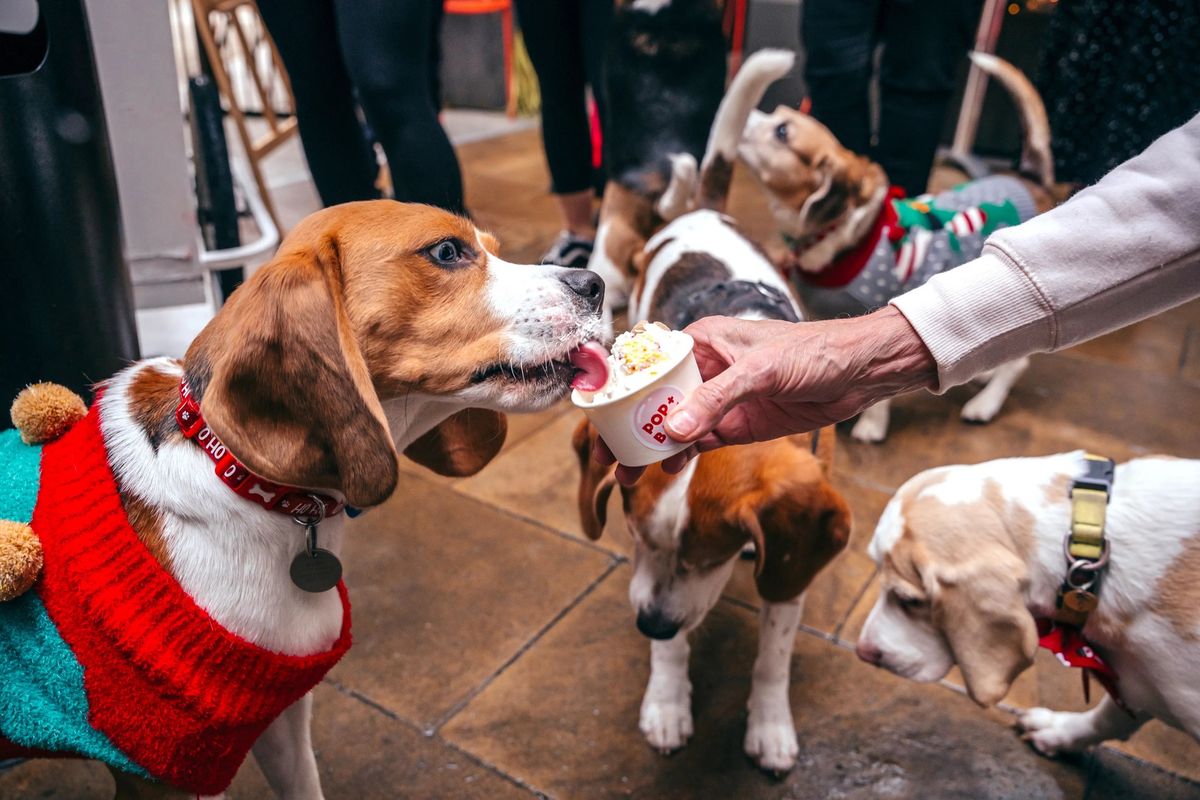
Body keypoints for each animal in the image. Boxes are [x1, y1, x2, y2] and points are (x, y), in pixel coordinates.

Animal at [0, 203, 604, 796]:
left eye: (494, 248)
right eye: (447, 251)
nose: (595, 283)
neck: (243, 486)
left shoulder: (281, 725)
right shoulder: (158, 773)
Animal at [739, 53, 1070, 443]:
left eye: (782, 131)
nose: (738, 108)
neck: (843, 234)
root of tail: (1033, 181)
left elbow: (877, 389)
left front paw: (870, 426)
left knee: (1018, 365)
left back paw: (985, 403)